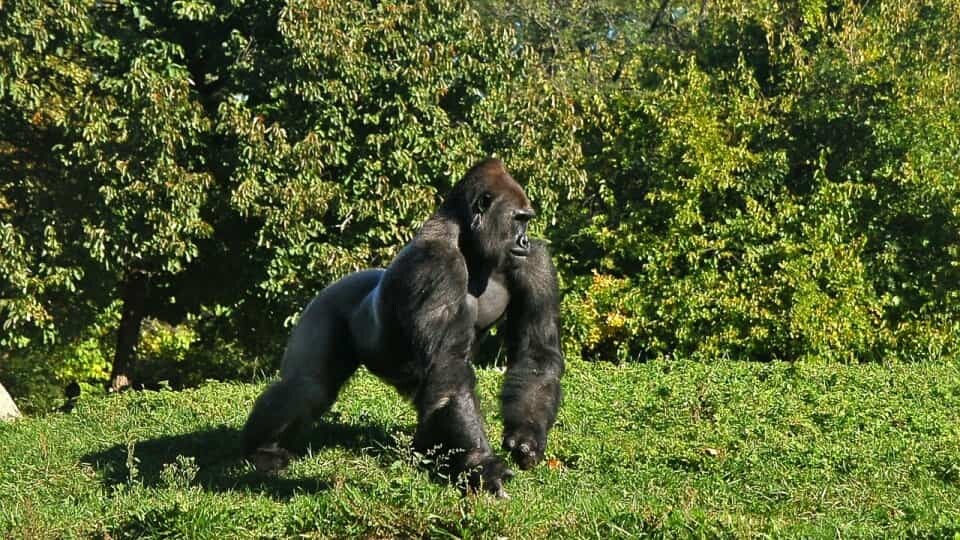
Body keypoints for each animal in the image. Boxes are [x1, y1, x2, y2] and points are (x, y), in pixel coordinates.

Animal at [240, 159, 568, 498]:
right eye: (518, 219)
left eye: (526, 222)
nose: (524, 241)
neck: (467, 240)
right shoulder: (437, 264)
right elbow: (450, 368)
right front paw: (482, 464)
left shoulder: (535, 261)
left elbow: (536, 352)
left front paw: (526, 437)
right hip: (330, 300)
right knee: (307, 385)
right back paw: (260, 449)